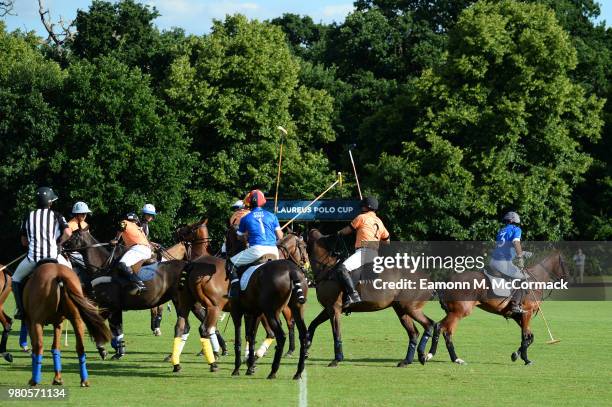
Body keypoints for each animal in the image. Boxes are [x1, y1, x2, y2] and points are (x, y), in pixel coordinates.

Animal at [306, 231, 436, 368]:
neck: (327, 270)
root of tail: (428, 281)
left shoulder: (334, 308)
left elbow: (336, 333)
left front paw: (337, 359)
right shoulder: (328, 308)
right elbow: (312, 324)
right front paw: (306, 348)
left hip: (410, 307)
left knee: (429, 324)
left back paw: (423, 355)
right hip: (401, 309)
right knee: (414, 333)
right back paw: (407, 361)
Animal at [428, 252, 568, 366]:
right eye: (565, 264)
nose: (566, 280)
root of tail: (447, 282)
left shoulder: (518, 316)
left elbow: (530, 337)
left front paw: (517, 356)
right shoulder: (526, 313)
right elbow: (525, 337)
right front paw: (524, 359)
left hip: (453, 312)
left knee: (446, 332)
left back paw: (455, 359)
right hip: (459, 312)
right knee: (440, 327)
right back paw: (432, 355)